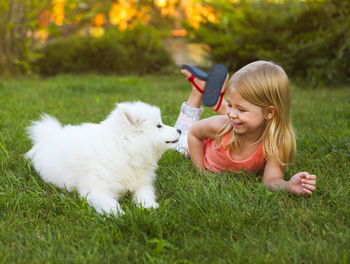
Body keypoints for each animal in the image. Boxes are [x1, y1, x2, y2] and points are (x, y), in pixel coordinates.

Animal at [25, 100, 180, 214]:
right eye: (159, 126)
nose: (179, 129)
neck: (123, 150)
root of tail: (49, 135)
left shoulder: (141, 183)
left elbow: (144, 194)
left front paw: (149, 206)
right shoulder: (95, 189)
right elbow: (108, 202)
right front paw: (118, 214)